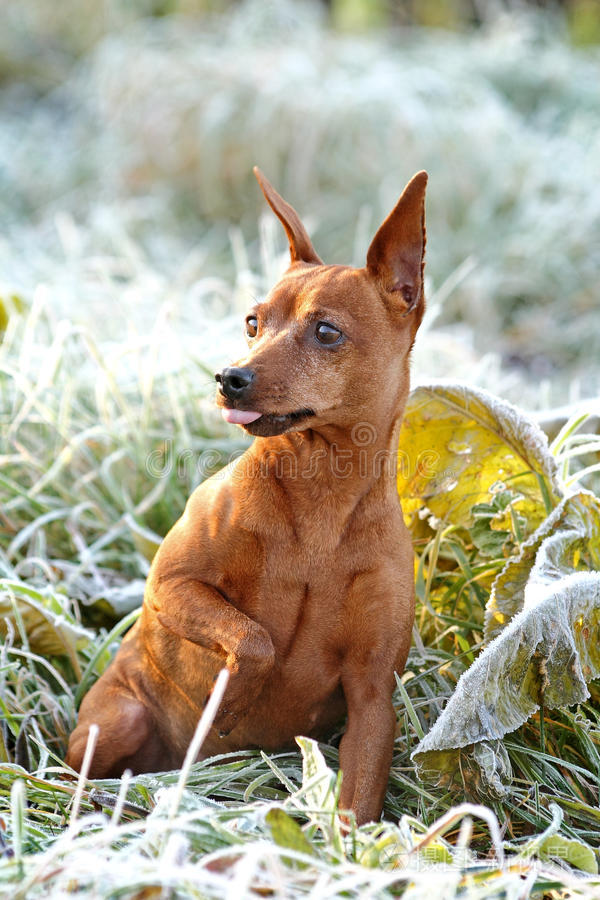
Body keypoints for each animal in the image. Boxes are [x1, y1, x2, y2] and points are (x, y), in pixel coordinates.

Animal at [68, 165, 426, 828]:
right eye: (252, 323)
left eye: (326, 331)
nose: (229, 376)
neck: (320, 499)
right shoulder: (170, 586)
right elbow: (254, 638)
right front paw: (232, 700)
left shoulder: (372, 699)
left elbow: (358, 804)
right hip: (118, 720)